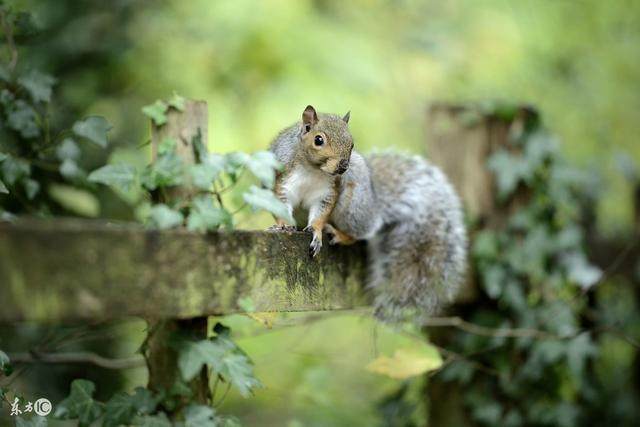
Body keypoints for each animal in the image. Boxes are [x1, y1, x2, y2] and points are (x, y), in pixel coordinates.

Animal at [268, 105, 468, 322]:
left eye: (352, 143)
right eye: (318, 140)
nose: (343, 166)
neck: (313, 169)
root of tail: (374, 205)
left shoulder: (329, 191)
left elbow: (321, 214)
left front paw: (316, 231)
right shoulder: (282, 177)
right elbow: (280, 202)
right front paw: (282, 225)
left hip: (352, 208)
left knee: (362, 233)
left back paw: (339, 234)